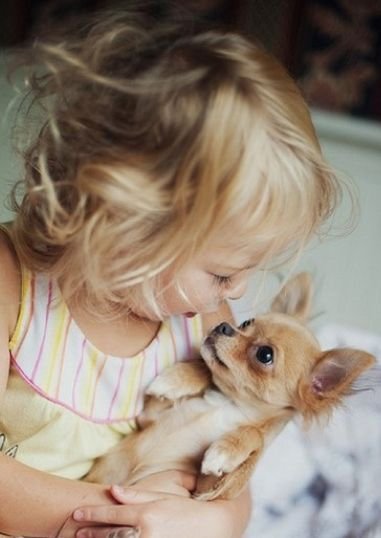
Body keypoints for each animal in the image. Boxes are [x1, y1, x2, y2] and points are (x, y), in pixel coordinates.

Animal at [85, 274, 374, 500]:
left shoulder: (208, 490)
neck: (229, 403)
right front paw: (176, 378)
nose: (224, 326)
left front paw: (224, 451)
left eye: (265, 355)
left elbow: (254, 435)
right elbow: (203, 369)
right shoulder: (150, 416)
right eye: (246, 323)